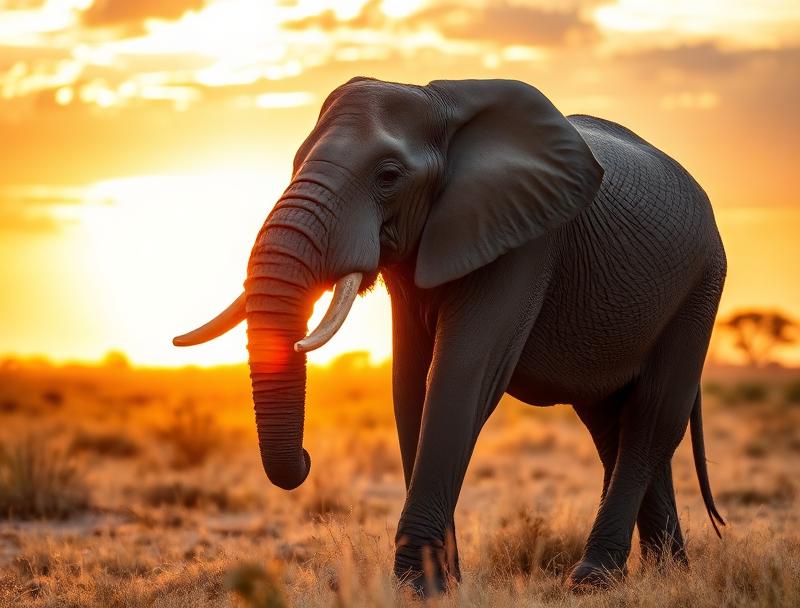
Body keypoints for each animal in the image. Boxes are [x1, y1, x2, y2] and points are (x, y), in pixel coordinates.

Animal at [173, 77, 726, 594]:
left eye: (388, 176)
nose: (308, 459)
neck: (438, 102)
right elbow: (408, 386)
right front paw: (442, 584)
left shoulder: (524, 237)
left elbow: (462, 374)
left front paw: (416, 587)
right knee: (613, 424)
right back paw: (668, 575)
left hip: (702, 285)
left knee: (653, 416)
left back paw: (595, 578)